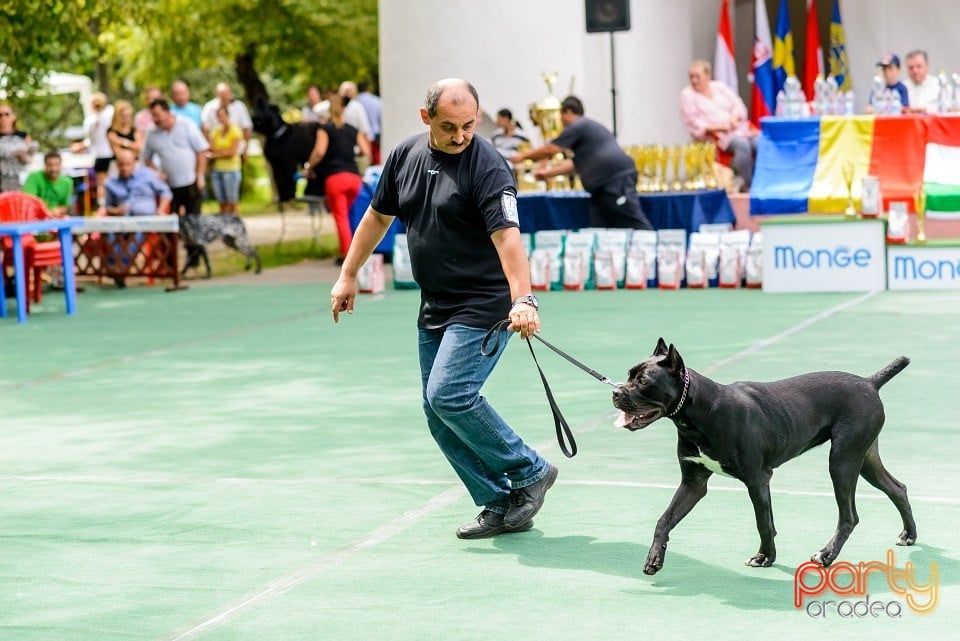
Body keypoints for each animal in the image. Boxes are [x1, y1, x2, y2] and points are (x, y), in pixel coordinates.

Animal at [612, 340, 920, 576]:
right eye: (628, 375)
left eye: (643, 381)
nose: (615, 392)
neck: (700, 411)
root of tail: (869, 383)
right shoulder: (694, 483)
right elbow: (664, 520)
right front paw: (654, 559)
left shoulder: (757, 479)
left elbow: (763, 522)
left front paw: (764, 557)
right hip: (864, 458)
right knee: (897, 488)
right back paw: (909, 535)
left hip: (842, 462)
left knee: (849, 516)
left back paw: (827, 554)